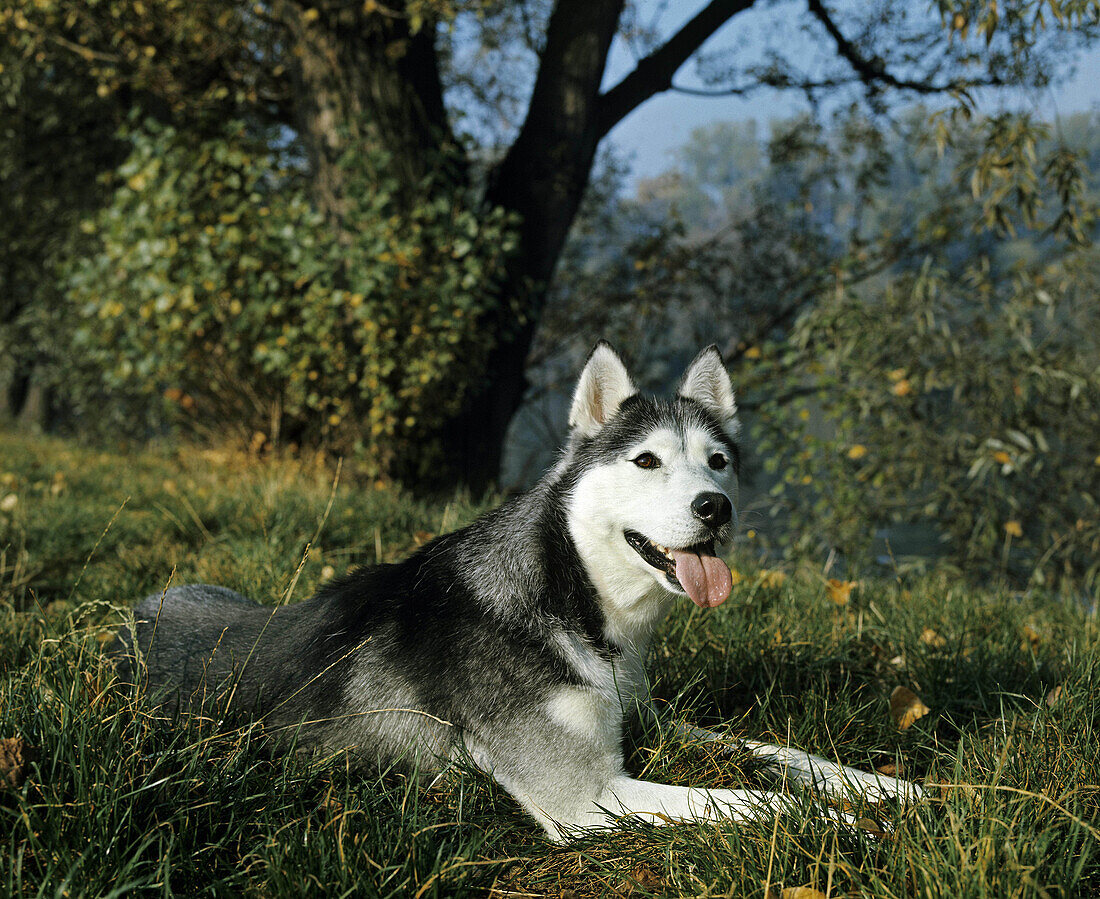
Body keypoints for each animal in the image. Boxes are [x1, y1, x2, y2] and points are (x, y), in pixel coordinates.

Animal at [111, 343, 919, 840]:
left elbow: (781, 755)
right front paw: (847, 825)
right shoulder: (590, 799)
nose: (714, 508)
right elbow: (760, 799)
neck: (568, 602)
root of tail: (127, 619)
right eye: (647, 460)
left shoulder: (649, 719)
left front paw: (894, 790)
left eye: (718, 461)